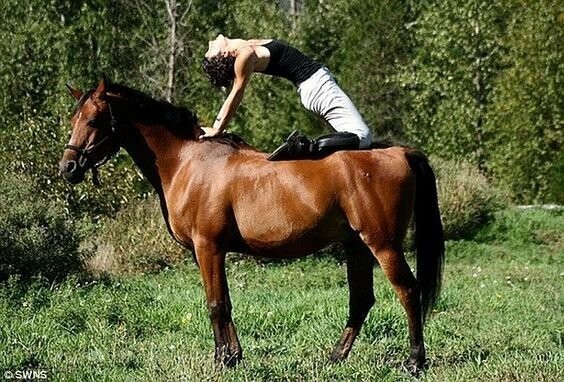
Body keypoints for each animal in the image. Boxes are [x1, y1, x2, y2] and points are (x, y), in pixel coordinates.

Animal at [58, 77, 446, 374]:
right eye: (73, 117)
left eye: (94, 120)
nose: (68, 167)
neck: (187, 161)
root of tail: (398, 152)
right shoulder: (207, 252)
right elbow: (223, 301)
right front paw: (232, 356)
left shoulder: (208, 246)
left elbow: (216, 304)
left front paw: (222, 360)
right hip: (357, 246)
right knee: (361, 300)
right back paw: (335, 357)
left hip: (383, 244)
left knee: (408, 291)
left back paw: (415, 361)